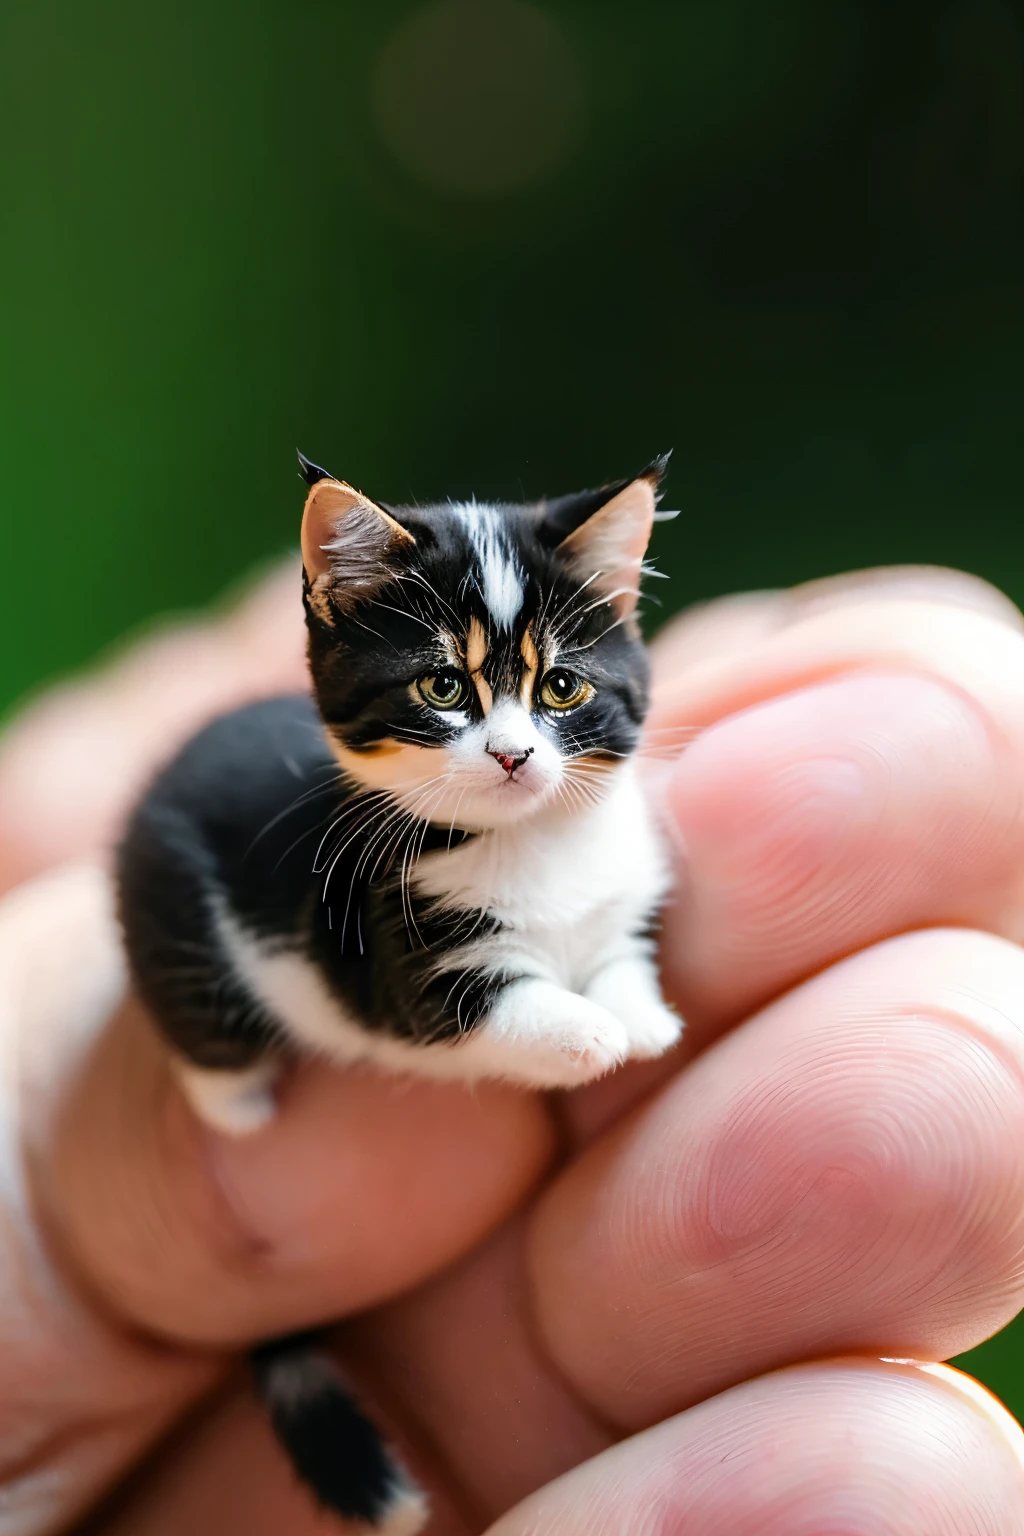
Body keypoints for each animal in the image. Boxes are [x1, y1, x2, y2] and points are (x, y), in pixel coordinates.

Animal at [118, 451, 681, 1523]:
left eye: (562, 687)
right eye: (442, 684)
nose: (513, 753)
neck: (528, 842)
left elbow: (617, 955)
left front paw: (642, 1020)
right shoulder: (404, 951)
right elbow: (499, 1006)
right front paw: (588, 1037)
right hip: (169, 911)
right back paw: (241, 1108)